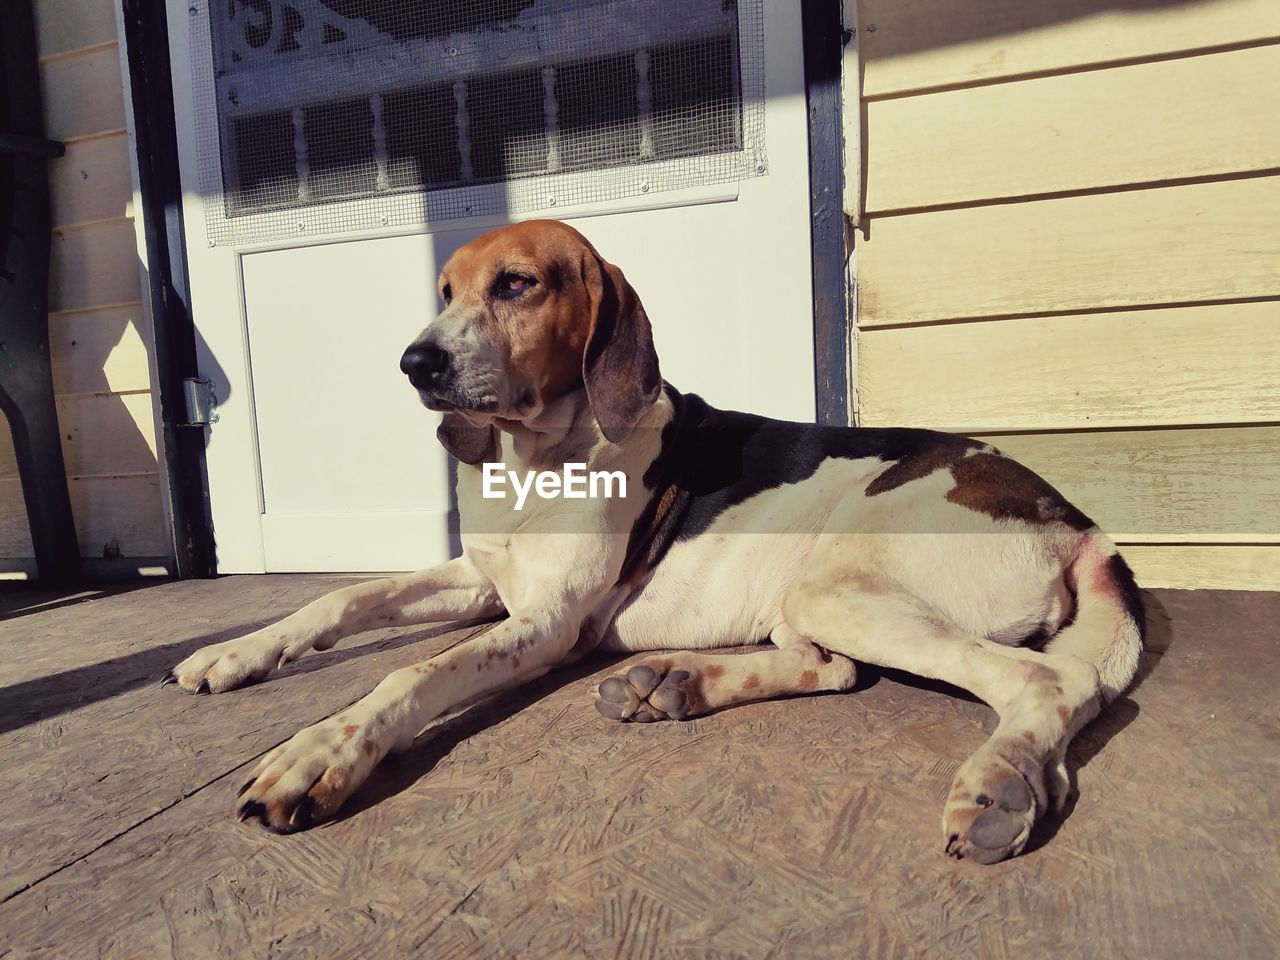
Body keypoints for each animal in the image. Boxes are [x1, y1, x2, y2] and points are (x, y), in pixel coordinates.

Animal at [165, 220, 1146, 865]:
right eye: (443, 292)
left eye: (516, 284)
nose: (415, 364)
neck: (538, 457)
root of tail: (1076, 521)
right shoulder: (481, 581)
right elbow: (340, 596)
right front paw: (236, 653)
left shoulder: (545, 626)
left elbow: (411, 674)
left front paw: (317, 755)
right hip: (817, 597)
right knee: (833, 669)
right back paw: (672, 684)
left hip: (842, 585)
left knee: (1051, 682)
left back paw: (1000, 785)